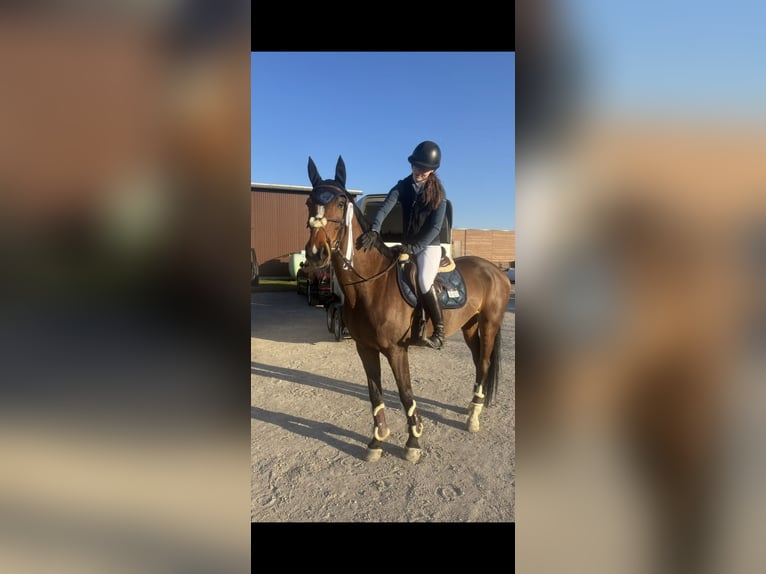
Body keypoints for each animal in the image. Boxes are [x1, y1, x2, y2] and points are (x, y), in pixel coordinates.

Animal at [303, 155, 512, 463]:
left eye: (341, 203)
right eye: (309, 202)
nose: (316, 254)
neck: (372, 284)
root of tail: (495, 270)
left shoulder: (396, 350)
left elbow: (405, 393)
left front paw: (413, 442)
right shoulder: (365, 349)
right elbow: (375, 394)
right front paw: (376, 441)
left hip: (489, 325)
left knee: (484, 363)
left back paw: (473, 417)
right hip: (469, 326)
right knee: (478, 364)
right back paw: (473, 406)